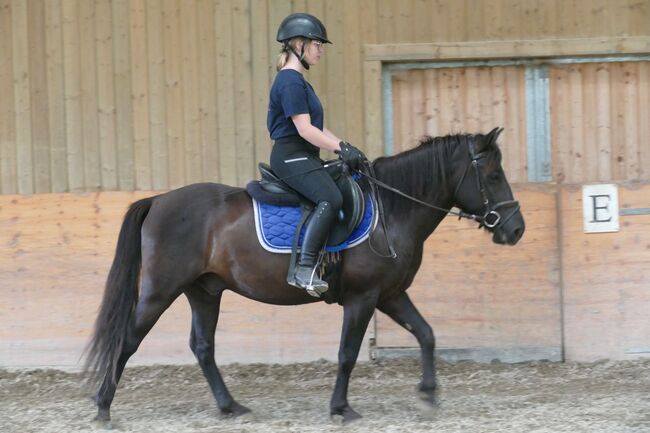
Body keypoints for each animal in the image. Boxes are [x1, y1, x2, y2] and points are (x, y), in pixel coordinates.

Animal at [85, 125, 520, 422]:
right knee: (128, 339)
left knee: (203, 347)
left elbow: (427, 335)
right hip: (160, 291)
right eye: (493, 176)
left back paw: (231, 407)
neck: (392, 210)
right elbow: (347, 354)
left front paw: (428, 395)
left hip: (204, 291)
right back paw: (103, 408)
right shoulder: (363, 298)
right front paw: (341, 408)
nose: (516, 230)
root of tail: (158, 200)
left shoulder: (390, 294)